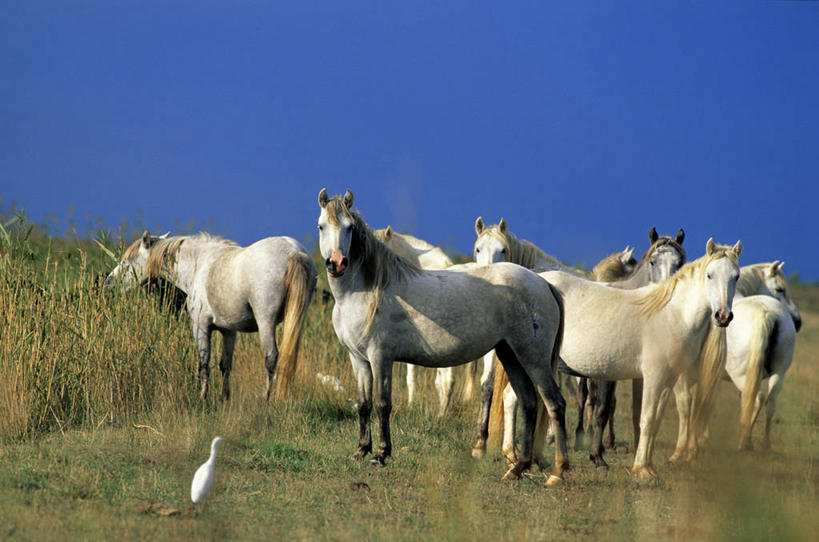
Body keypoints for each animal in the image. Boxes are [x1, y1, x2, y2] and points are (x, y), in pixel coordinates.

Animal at [105, 230, 318, 404]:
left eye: (127, 262)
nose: (109, 283)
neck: (199, 264)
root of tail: (293, 252)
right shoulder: (229, 331)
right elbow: (225, 365)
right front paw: (225, 399)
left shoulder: (201, 327)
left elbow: (204, 365)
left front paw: (203, 399)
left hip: (266, 322)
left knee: (271, 358)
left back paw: (267, 400)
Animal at [540, 241, 744, 480]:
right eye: (710, 275)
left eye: (736, 276)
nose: (723, 316)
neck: (671, 315)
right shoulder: (653, 377)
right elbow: (645, 418)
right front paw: (641, 470)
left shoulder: (668, 380)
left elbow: (655, 421)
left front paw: (650, 467)